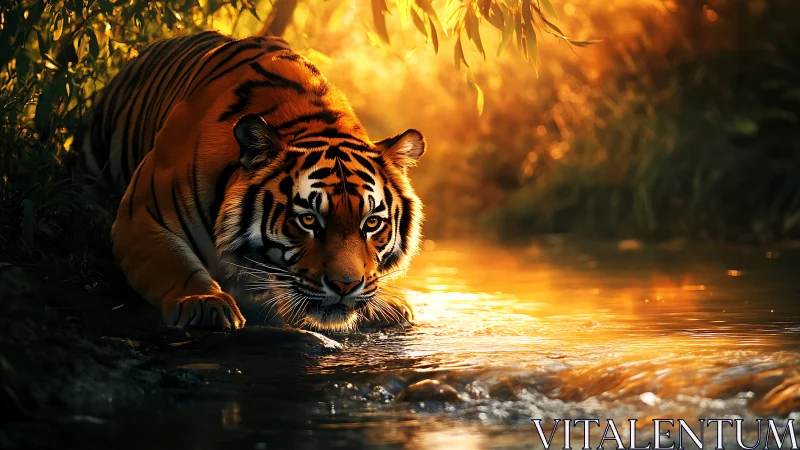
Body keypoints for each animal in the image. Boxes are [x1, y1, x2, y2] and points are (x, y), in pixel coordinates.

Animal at [76, 31, 426, 332]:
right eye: (308, 220)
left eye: (372, 224)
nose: (345, 286)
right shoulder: (141, 216)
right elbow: (175, 263)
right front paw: (204, 302)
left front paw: (388, 305)